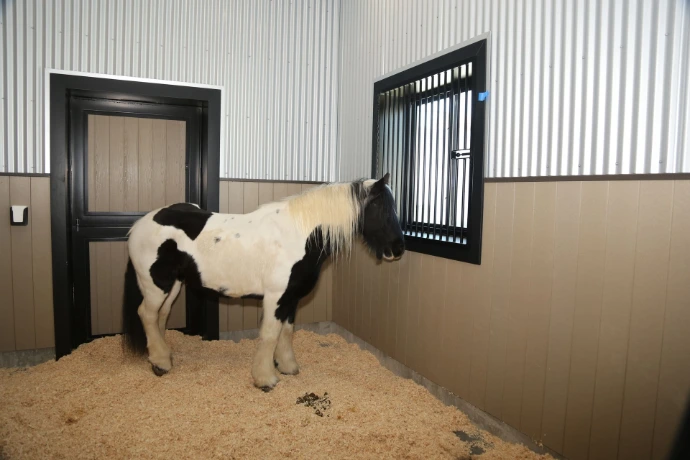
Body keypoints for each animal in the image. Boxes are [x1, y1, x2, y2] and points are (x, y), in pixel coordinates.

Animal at [121, 173, 405, 391]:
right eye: (381, 207)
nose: (398, 248)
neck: (298, 235)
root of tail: (138, 225)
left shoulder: (291, 298)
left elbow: (287, 332)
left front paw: (288, 366)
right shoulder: (275, 297)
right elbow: (269, 334)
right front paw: (265, 378)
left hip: (172, 285)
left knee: (160, 316)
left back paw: (163, 355)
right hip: (156, 284)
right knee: (146, 314)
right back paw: (160, 363)